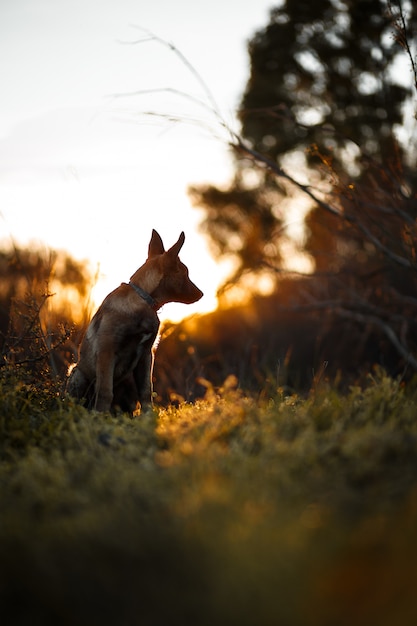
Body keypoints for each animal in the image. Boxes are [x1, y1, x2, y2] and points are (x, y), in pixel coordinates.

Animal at [67, 229, 203, 414]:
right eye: (185, 273)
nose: (201, 294)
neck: (143, 299)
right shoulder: (106, 352)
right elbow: (105, 391)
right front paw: (99, 415)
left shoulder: (146, 355)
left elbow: (146, 391)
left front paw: (148, 417)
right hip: (78, 374)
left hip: (129, 379)